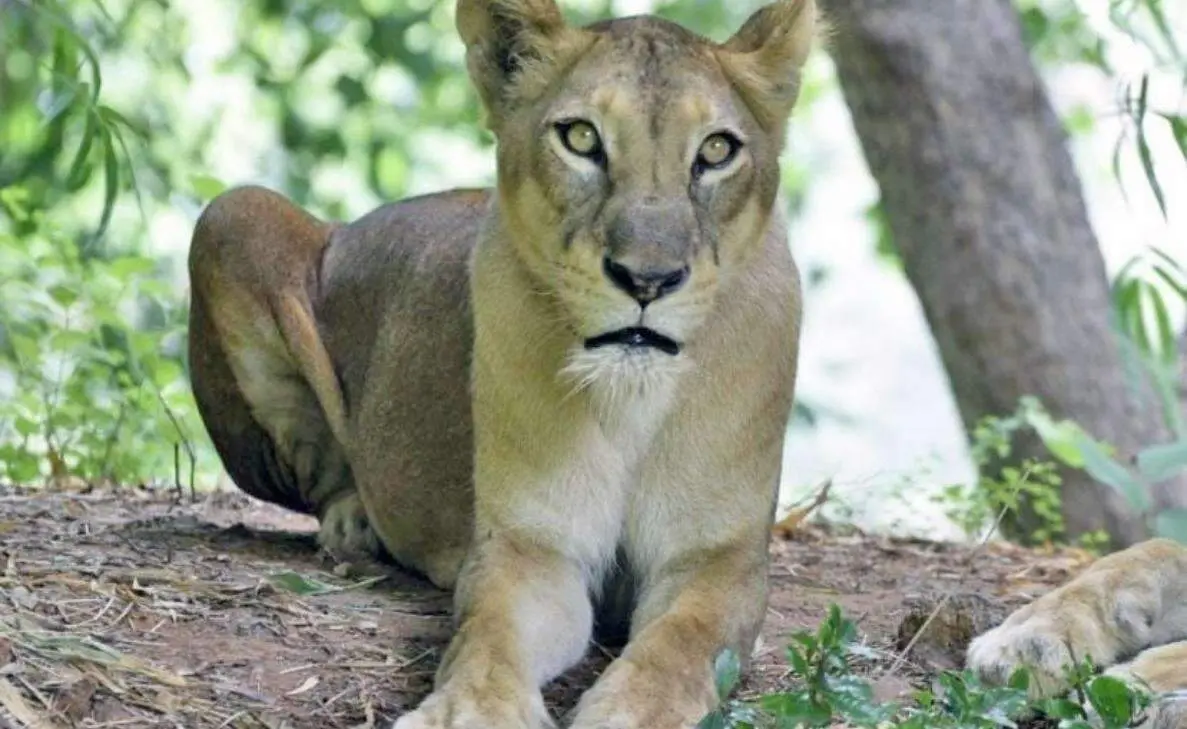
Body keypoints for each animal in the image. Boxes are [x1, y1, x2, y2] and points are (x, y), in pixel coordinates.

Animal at [186, 1, 817, 726]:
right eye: (580, 137)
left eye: (716, 150)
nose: (647, 279)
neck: (631, 399)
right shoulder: (526, 546)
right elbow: (489, 631)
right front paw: (470, 709)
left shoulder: (719, 559)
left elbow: (682, 642)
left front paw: (632, 710)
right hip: (231, 212)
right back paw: (354, 525)